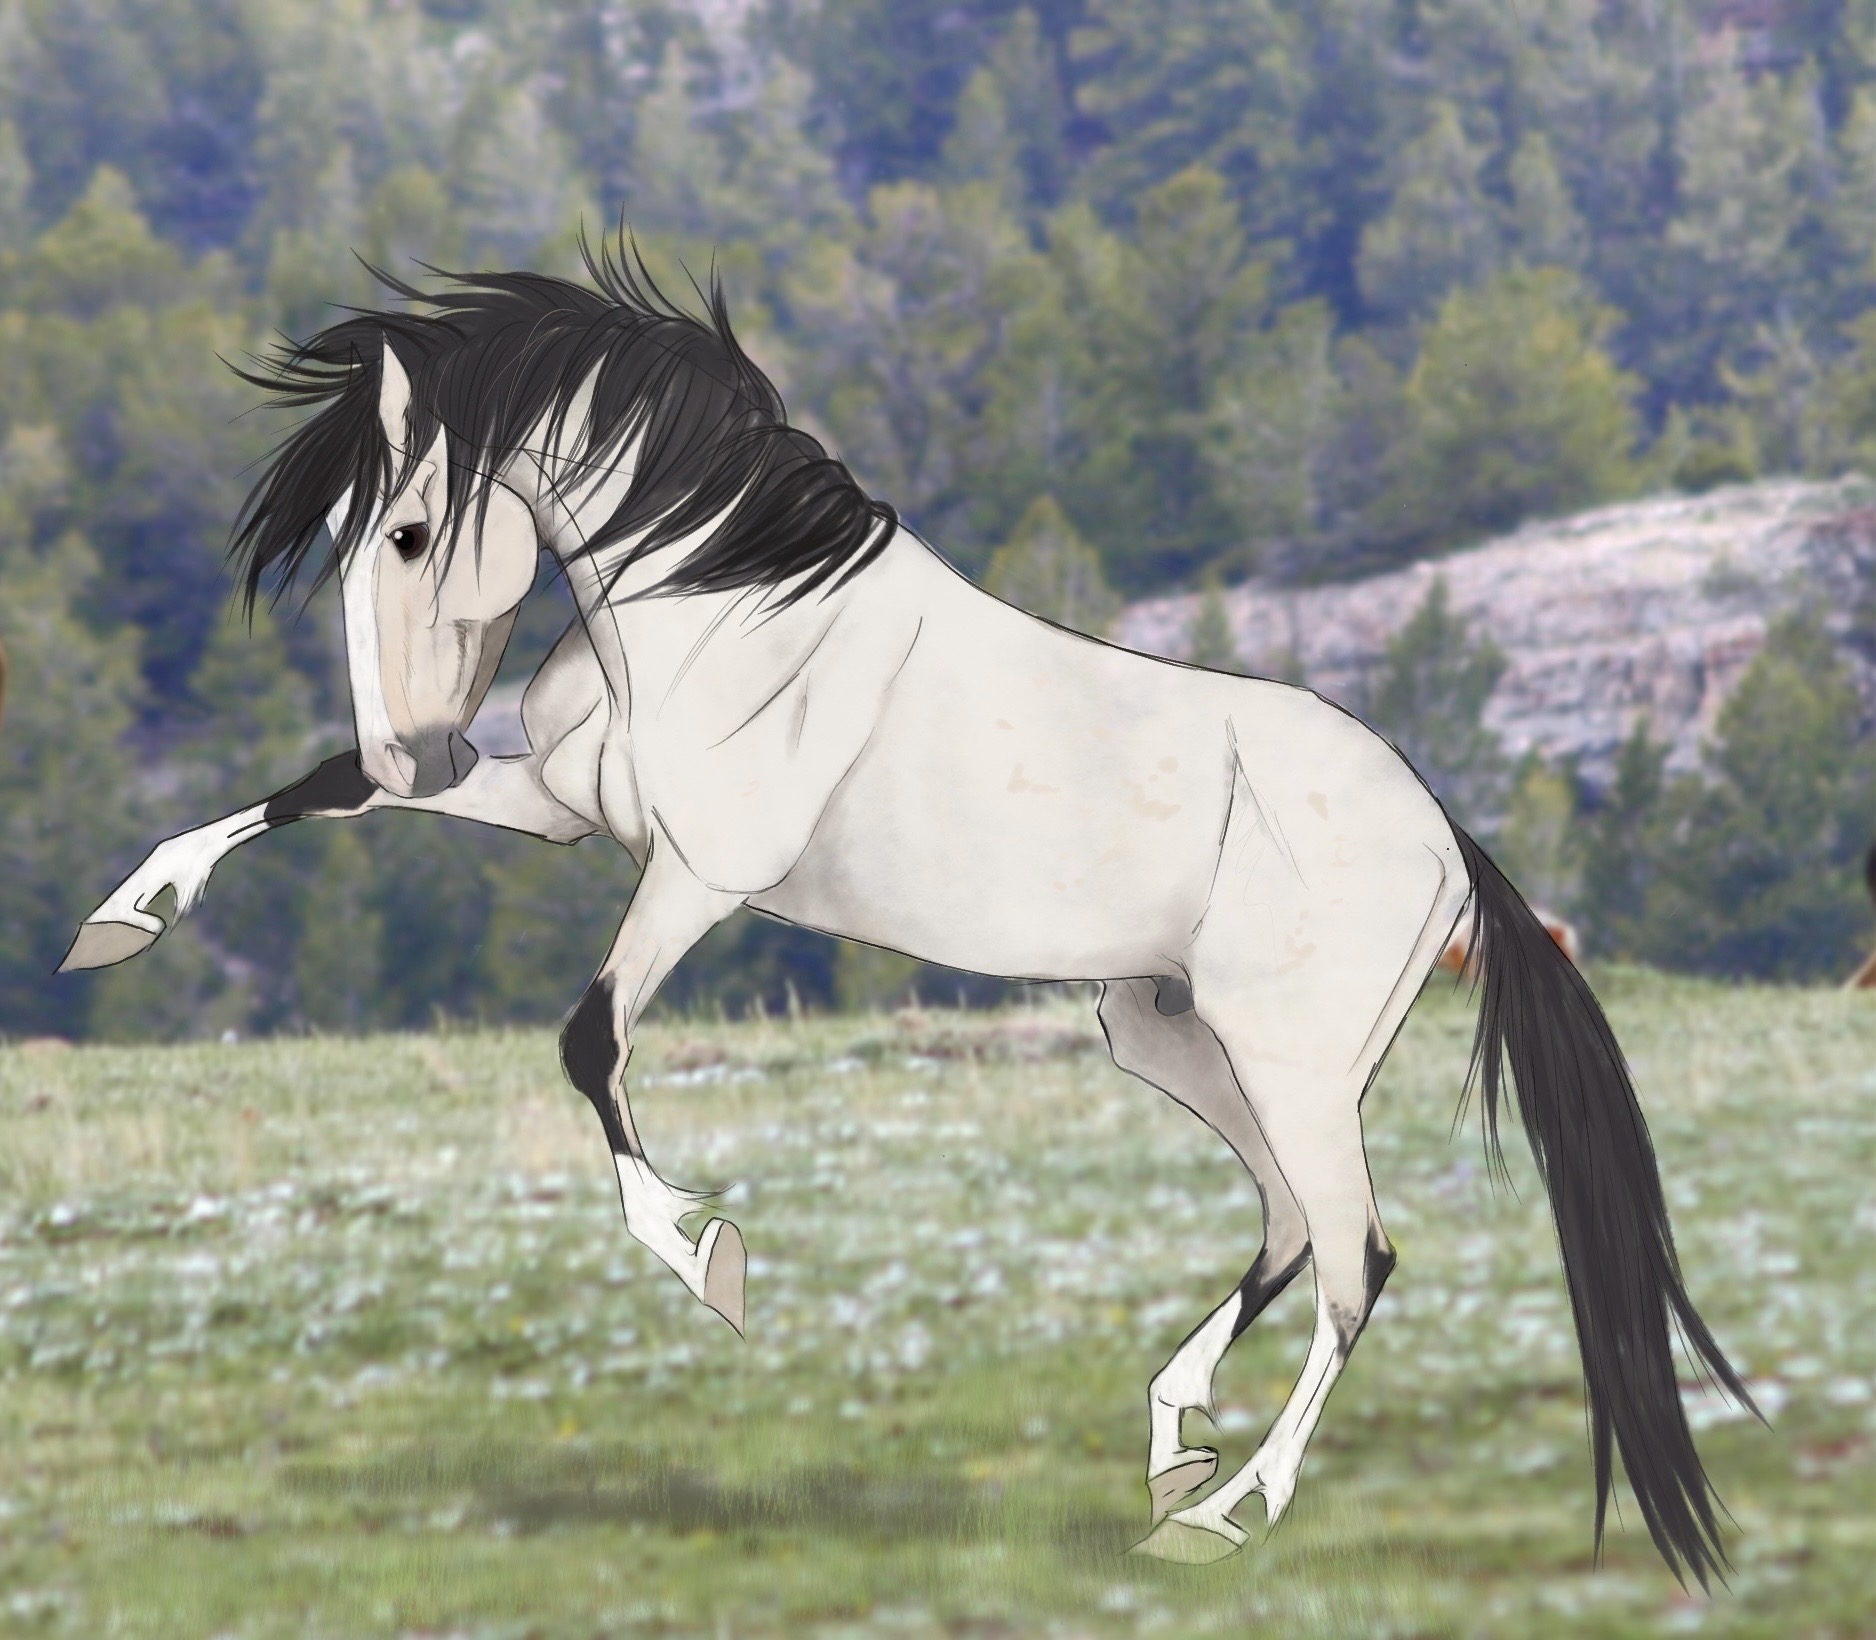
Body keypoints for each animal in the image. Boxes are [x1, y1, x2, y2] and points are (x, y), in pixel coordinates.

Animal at [60, 244, 1753, 1581]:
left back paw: (1231, 1513)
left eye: (410, 534)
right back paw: (1170, 1448)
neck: (725, 603)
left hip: (1288, 1057)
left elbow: (589, 1040)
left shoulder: (699, 873)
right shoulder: (563, 809)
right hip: (1167, 1034)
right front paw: (122, 919)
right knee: (1287, 1228)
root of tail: (1445, 834)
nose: (419, 738)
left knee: (1354, 1256)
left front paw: (711, 1263)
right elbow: (321, 793)